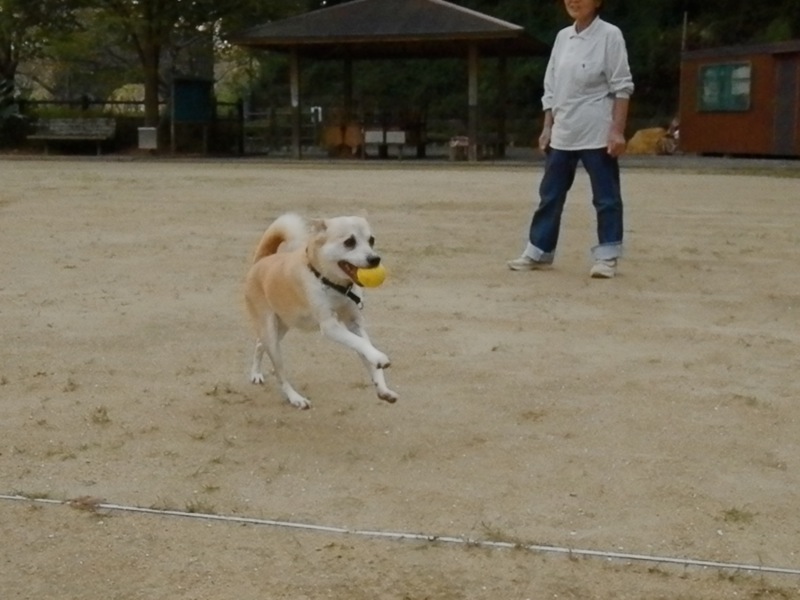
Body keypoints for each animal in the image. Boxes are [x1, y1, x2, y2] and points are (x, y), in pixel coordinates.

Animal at [244, 213, 397, 409]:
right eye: (349, 242)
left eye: (371, 240)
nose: (375, 259)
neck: (333, 285)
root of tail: (262, 260)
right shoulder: (330, 327)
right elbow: (361, 343)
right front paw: (379, 358)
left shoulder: (354, 323)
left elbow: (365, 349)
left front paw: (382, 388)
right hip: (271, 334)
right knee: (280, 375)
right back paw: (296, 398)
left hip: (281, 328)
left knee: (259, 345)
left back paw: (256, 373)